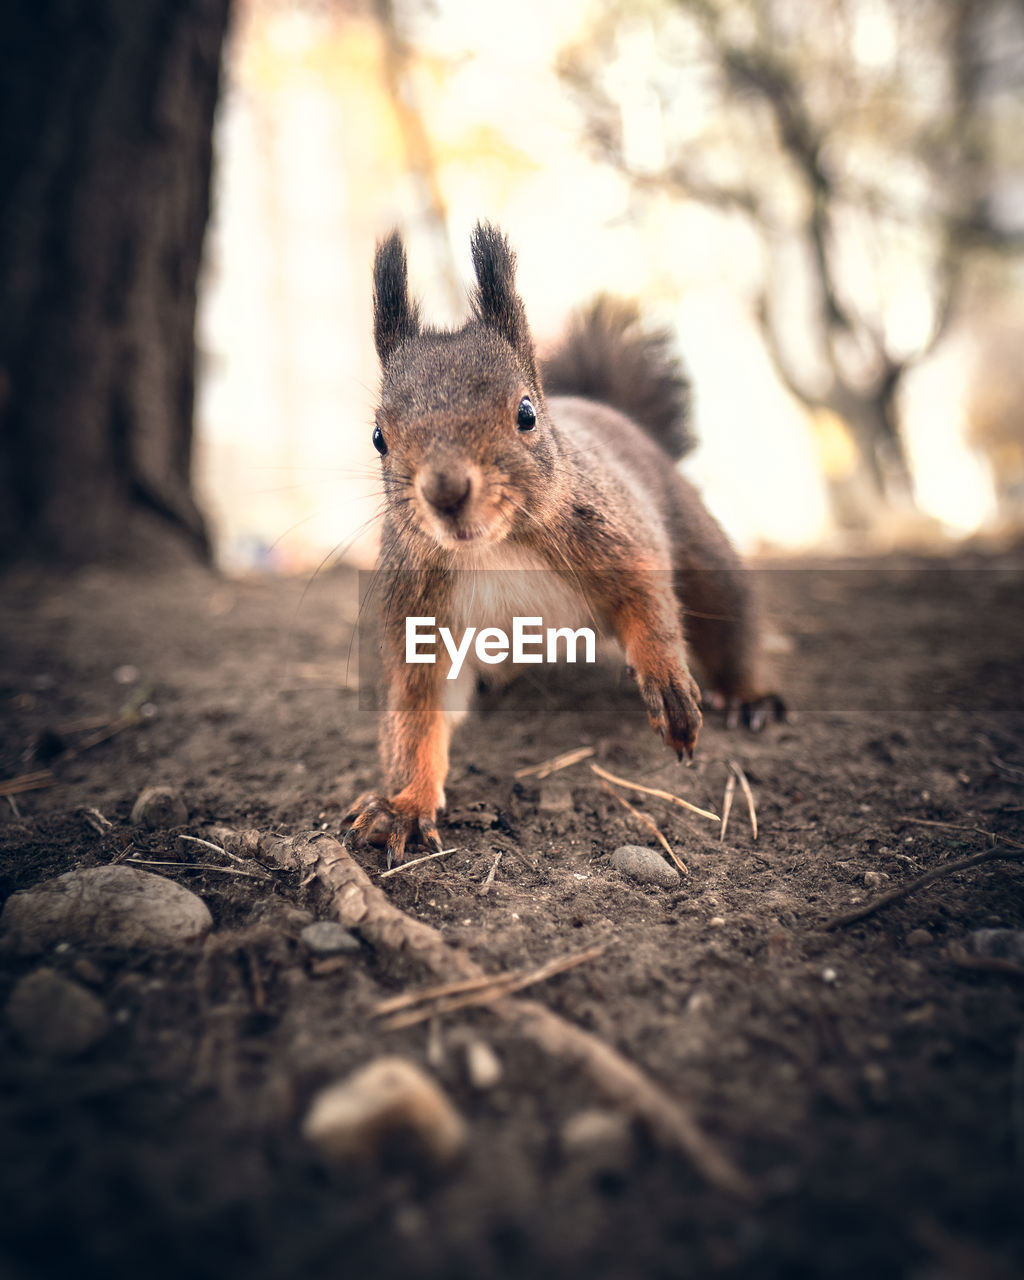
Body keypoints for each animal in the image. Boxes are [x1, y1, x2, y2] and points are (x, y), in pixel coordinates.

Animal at [343, 225, 783, 865]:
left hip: (701, 547)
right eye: (378, 436)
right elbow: (417, 718)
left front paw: (669, 687)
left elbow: (649, 600)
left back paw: (748, 697)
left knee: (731, 621)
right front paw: (402, 806)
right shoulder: (419, 614)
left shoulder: (618, 538)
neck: (493, 550)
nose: (446, 491)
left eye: (526, 413)